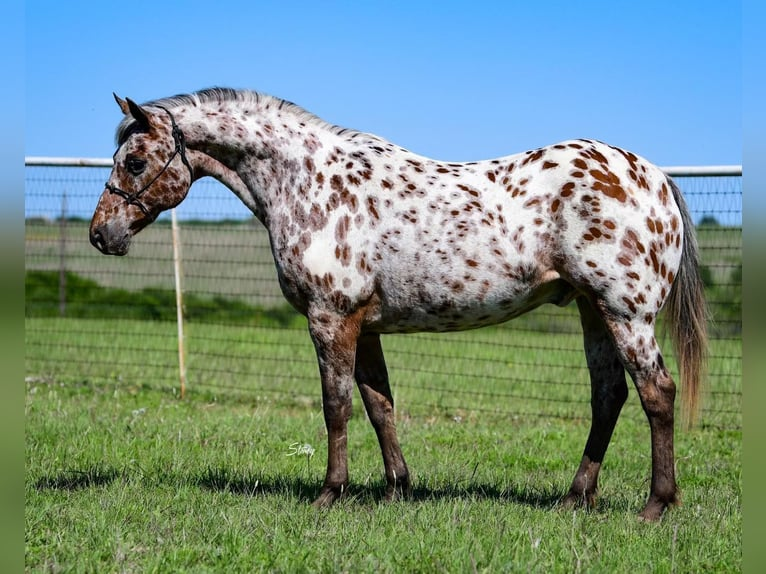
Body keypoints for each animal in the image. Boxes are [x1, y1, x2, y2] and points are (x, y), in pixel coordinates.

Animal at [89, 88, 707, 521]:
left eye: (135, 162)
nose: (100, 234)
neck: (310, 184)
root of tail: (653, 176)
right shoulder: (365, 327)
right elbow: (379, 405)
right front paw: (396, 490)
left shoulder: (331, 319)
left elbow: (336, 406)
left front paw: (330, 494)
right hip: (592, 311)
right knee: (608, 397)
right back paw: (575, 498)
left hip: (626, 315)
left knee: (657, 394)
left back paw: (655, 505)